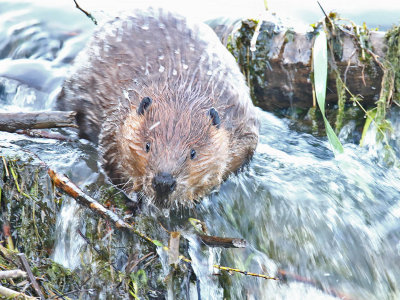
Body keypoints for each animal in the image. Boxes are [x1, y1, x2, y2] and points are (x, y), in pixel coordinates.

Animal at [58, 7, 260, 209]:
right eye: (147, 145)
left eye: (193, 153)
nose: (164, 182)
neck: (181, 92)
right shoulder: (117, 120)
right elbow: (112, 159)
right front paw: (134, 195)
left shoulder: (241, 122)